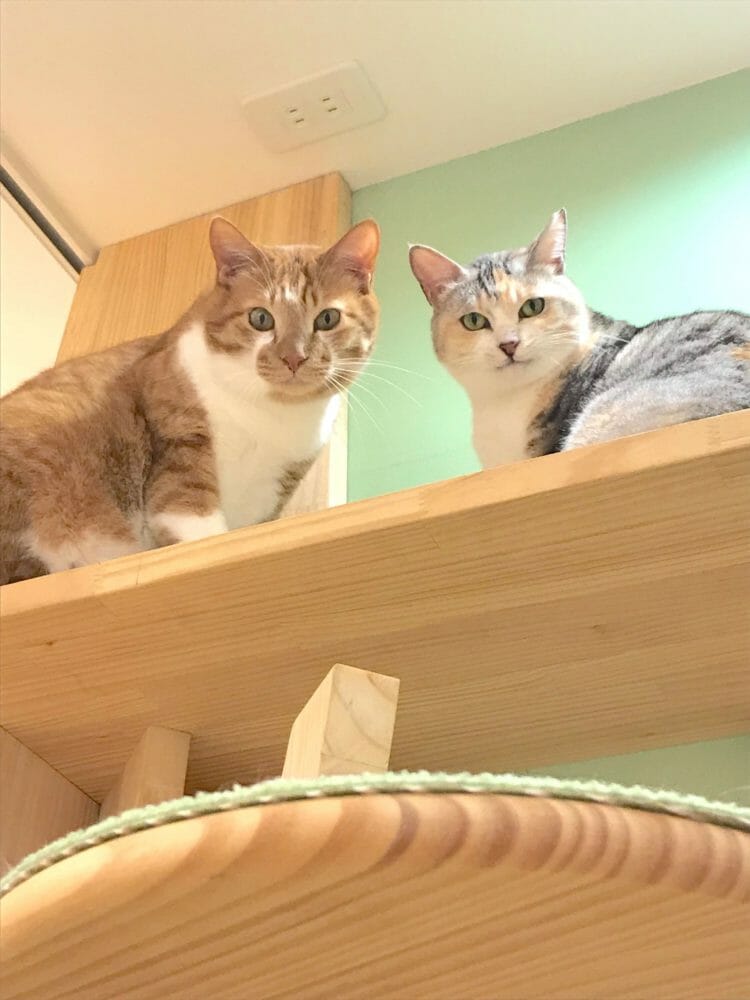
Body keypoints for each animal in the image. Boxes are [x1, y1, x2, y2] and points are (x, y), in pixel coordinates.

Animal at [0, 217, 380, 584]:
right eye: (261, 318)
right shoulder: (180, 437)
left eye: (327, 318)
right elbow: (194, 522)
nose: (293, 358)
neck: (271, 415)